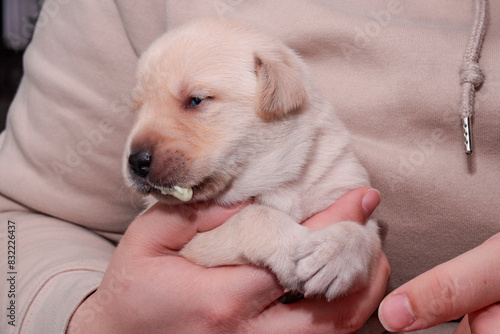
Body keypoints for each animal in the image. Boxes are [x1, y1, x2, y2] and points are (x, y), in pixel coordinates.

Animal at [124, 18, 378, 300]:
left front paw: (333, 255)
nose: (135, 162)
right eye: (138, 109)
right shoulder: (194, 245)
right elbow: (252, 216)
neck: (274, 181)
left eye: (196, 99)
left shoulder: (346, 190)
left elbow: (363, 234)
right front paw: (291, 244)